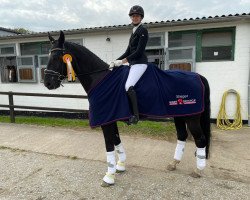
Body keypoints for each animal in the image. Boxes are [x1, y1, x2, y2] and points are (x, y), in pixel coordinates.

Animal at [44, 30, 210, 186]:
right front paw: (121, 165)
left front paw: (109, 176)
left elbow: (109, 145)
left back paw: (198, 170)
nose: (48, 83)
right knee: (182, 136)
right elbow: (117, 140)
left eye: (58, 56)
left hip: (191, 117)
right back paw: (173, 164)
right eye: (48, 56)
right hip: (180, 115)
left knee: (200, 139)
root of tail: (198, 76)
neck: (100, 79)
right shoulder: (111, 118)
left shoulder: (106, 120)